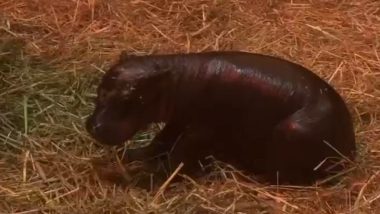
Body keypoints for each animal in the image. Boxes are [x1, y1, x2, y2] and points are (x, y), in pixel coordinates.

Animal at [86, 51, 356, 185]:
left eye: (133, 99)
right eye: (100, 90)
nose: (94, 126)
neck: (176, 80)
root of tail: (351, 153)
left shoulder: (201, 128)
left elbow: (179, 155)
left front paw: (146, 176)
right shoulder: (180, 118)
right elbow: (161, 140)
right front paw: (131, 156)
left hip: (292, 130)